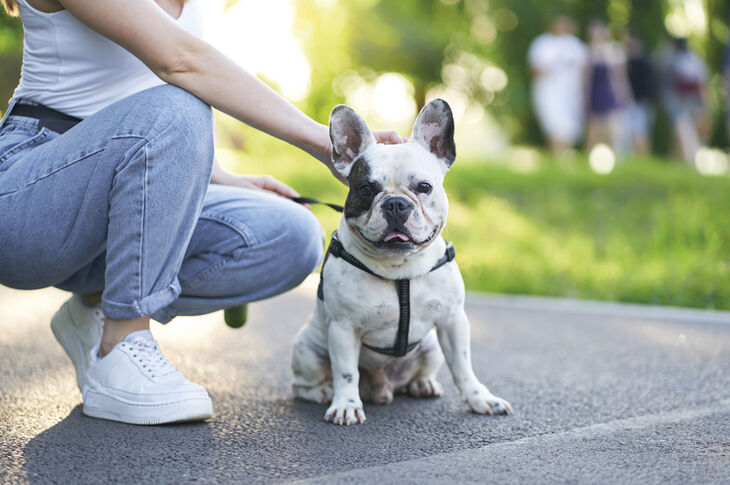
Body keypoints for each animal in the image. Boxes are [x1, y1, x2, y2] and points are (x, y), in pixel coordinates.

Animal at [292, 98, 512, 424]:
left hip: (431, 348)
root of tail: (382, 387)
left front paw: (479, 398)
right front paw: (346, 405)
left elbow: (463, 367)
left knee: (420, 372)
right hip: (307, 350)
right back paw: (322, 392)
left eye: (424, 187)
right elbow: (345, 372)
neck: (400, 269)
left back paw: (422, 384)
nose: (396, 204)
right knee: (304, 384)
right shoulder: (343, 329)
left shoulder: (453, 321)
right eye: (366, 189)